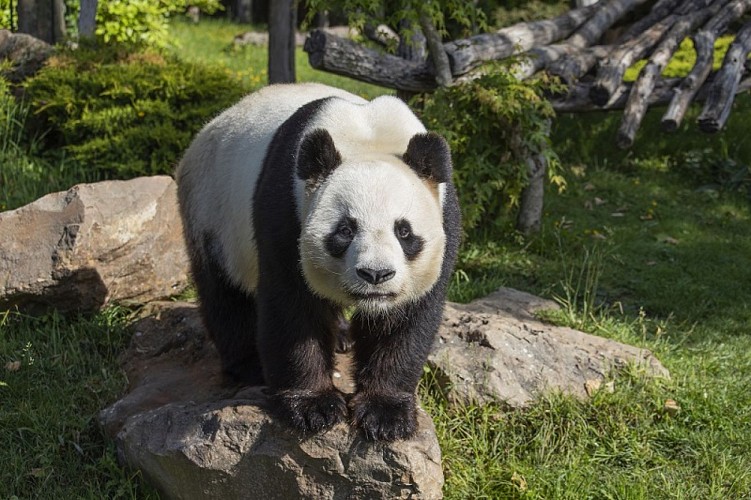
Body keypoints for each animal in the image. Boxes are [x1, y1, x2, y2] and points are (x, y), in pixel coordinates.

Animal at [176, 83, 461, 441]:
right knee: (225, 293)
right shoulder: (286, 208)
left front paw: (385, 414)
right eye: (345, 230)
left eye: (404, 231)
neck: (368, 140)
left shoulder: (443, 215)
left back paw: (340, 337)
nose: (375, 274)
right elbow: (291, 306)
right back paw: (249, 366)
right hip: (212, 211)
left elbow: (405, 320)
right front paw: (313, 407)